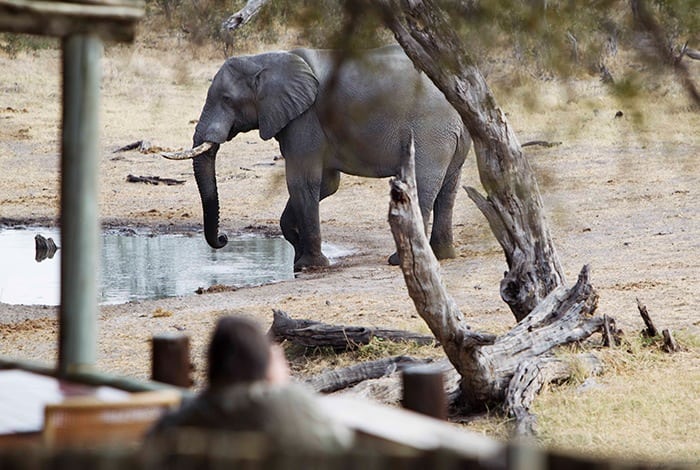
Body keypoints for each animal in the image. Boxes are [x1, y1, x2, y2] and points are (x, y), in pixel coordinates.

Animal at [164, 45, 470, 272]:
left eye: (227, 99)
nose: (223, 238)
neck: (265, 59)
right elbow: (325, 185)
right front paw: (298, 259)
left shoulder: (305, 119)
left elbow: (302, 181)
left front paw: (310, 265)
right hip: (452, 137)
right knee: (449, 189)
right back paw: (443, 254)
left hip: (430, 132)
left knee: (421, 185)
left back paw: (400, 261)